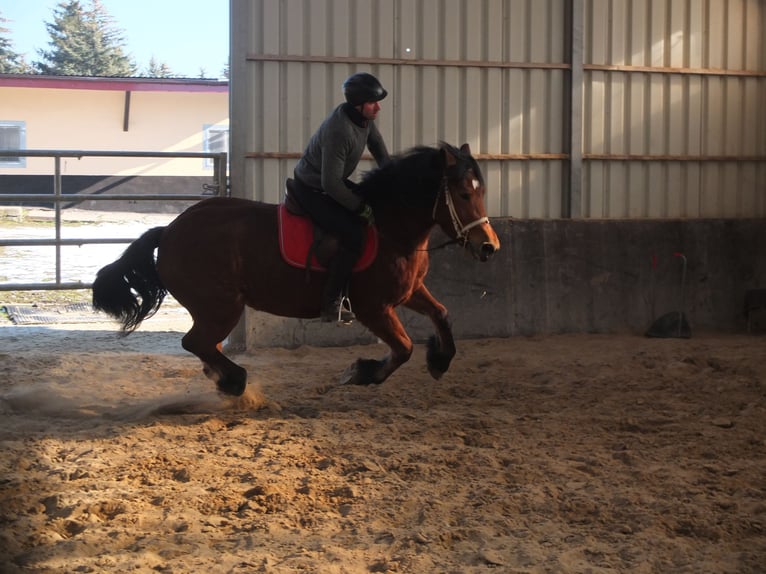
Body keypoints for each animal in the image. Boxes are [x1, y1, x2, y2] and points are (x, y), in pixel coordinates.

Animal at [91, 142, 504, 398]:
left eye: (481, 192)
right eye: (464, 194)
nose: (489, 247)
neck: (390, 228)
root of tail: (170, 230)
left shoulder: (409, 293)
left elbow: (443, 314)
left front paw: (440, 359)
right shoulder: (374, 308)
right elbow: (402, 348)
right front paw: (360, 372)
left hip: (213, 309)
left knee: (206, 346)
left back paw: (224, 379)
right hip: (221, 306)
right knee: (195, 343)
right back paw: (235, 382)